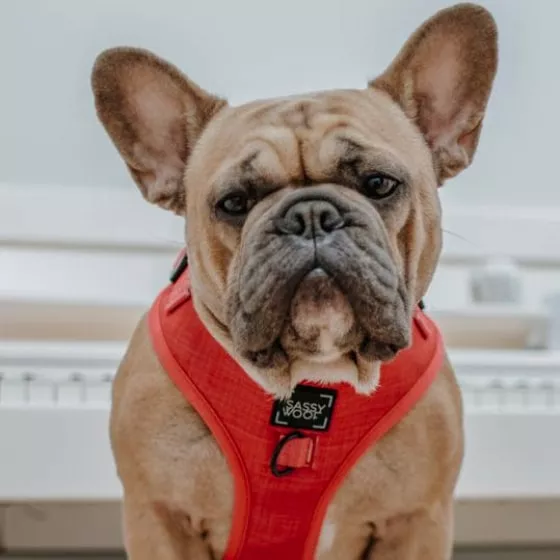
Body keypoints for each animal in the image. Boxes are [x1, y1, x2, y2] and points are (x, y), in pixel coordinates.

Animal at [92, 2, 498, 556]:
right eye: (234, 202)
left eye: (379, 184)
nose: (310, 216)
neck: (313, 374)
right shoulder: (159, 516)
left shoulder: (418, 521)